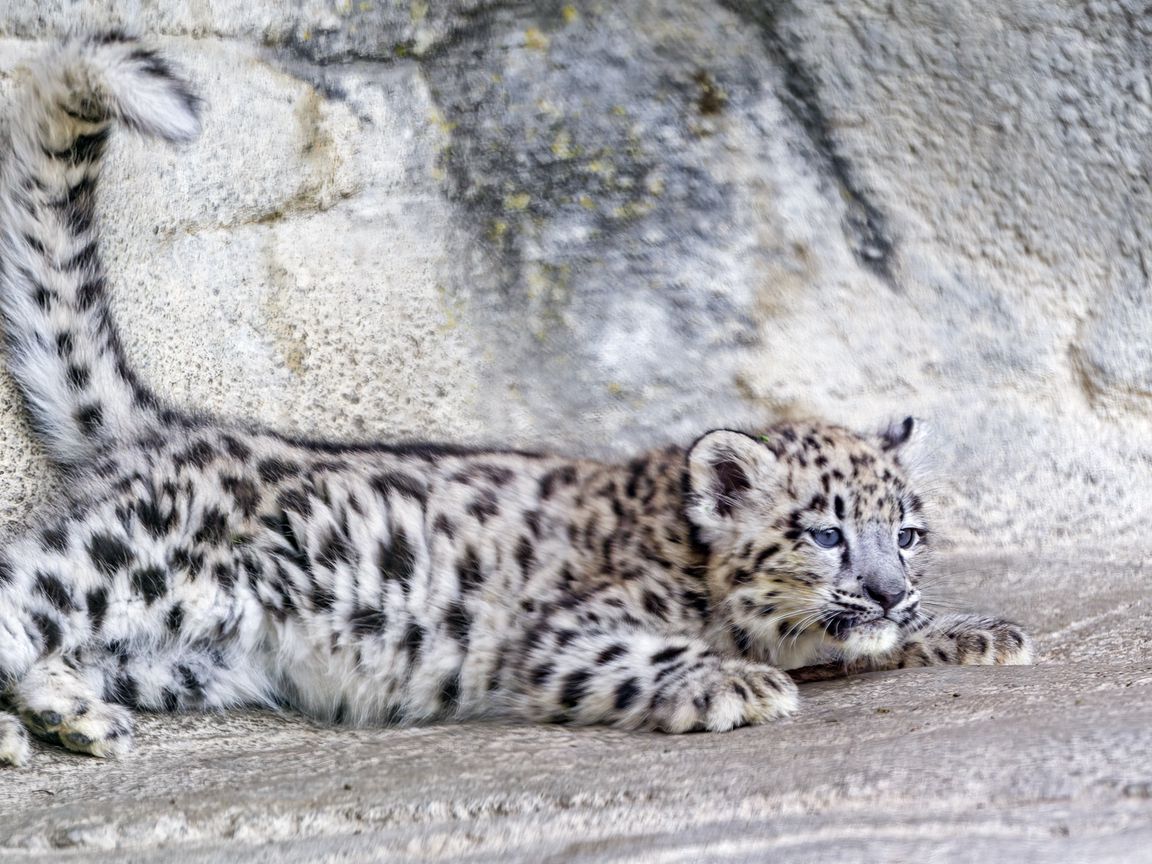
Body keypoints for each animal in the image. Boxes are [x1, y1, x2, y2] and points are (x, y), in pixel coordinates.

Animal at [0, 34, 1031, 767]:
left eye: (906, 532)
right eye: (824, 533)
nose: (890, 589)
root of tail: (172, 427)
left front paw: (976, 628)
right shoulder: (571, 634)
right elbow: (652, 656)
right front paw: (739, 684)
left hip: (181, 655)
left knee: (62, 651)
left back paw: (79, 718)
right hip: (118, 566)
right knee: (21, 597)